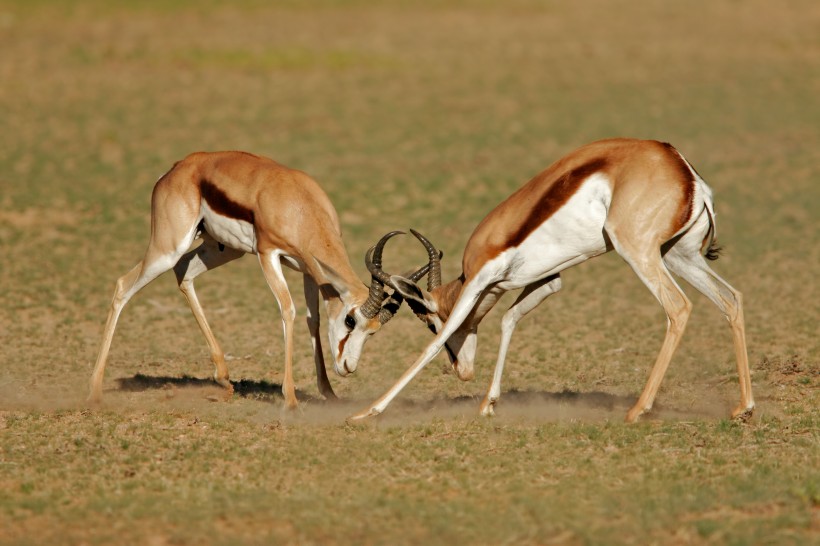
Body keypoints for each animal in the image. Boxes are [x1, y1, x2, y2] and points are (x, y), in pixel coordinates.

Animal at [86, 151, 426, 406]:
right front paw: (290, 400)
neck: (298, 204)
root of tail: (177, 168)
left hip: (222, 249)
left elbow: (313, 320)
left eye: (373, 331)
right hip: (167, 248)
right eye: (350, 320)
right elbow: (287, 310)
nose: (348, 368)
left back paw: (223, 377)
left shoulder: (308, 268)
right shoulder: (268, 254)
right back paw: (95, 391)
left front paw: (328, 393)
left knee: (183, 271)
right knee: (123, 285)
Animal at [350, 136, 752, 420]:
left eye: (430, 322)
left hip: (639, 252)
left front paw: (367, 412)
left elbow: (433, 347)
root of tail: (683, 169)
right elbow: (510, 319)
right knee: (731, 298)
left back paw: (638, 410)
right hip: (678, 255)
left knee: (679, 307)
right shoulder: (546, 280)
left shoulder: (481, 280)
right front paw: (488, 404)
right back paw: (743, 408)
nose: (463, 373)